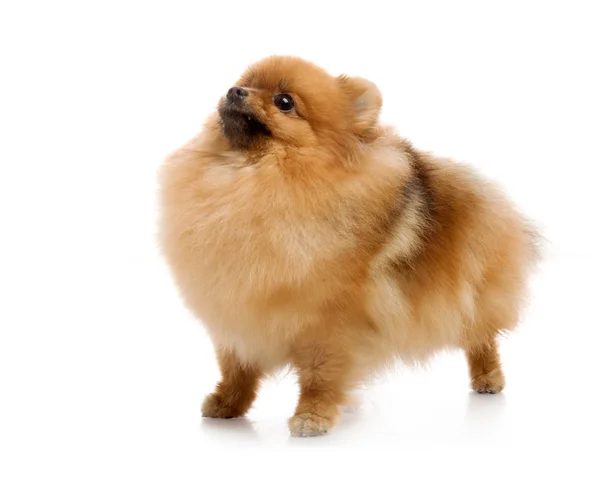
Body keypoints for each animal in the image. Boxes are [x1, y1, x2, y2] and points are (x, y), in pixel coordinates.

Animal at [158, 55, 540, 436]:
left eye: (285, 102)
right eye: (245, 83)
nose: (234, 91)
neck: (254, 178)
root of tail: (488, 194)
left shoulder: (330, 322)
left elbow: (320, 374)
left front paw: (313, 417)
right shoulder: (237, 309)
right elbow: (236, 369)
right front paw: (227, 404)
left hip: (470, 298)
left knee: (481, 338)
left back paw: (488, 378)